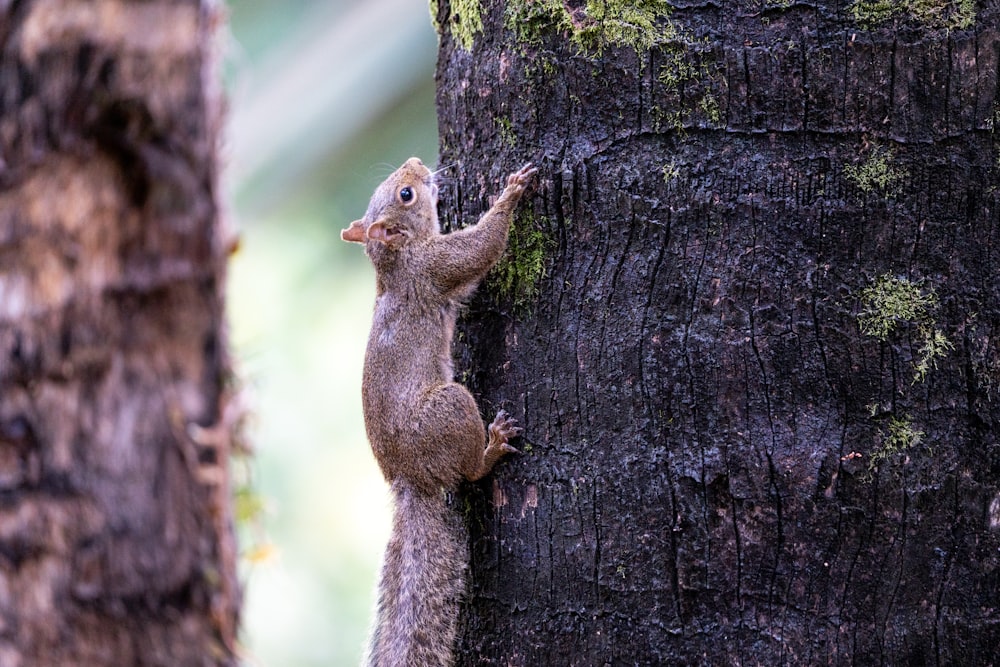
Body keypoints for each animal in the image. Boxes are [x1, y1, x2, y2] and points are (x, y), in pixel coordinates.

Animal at [342, 158, 536, 667]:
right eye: (407, 195)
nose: (417, 163)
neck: (396, 260)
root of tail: (410, 477)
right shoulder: (435, 266)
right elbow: (479, 249)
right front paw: (511, 193)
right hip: (451, 408)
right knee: (469, 471)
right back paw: (492, 447)